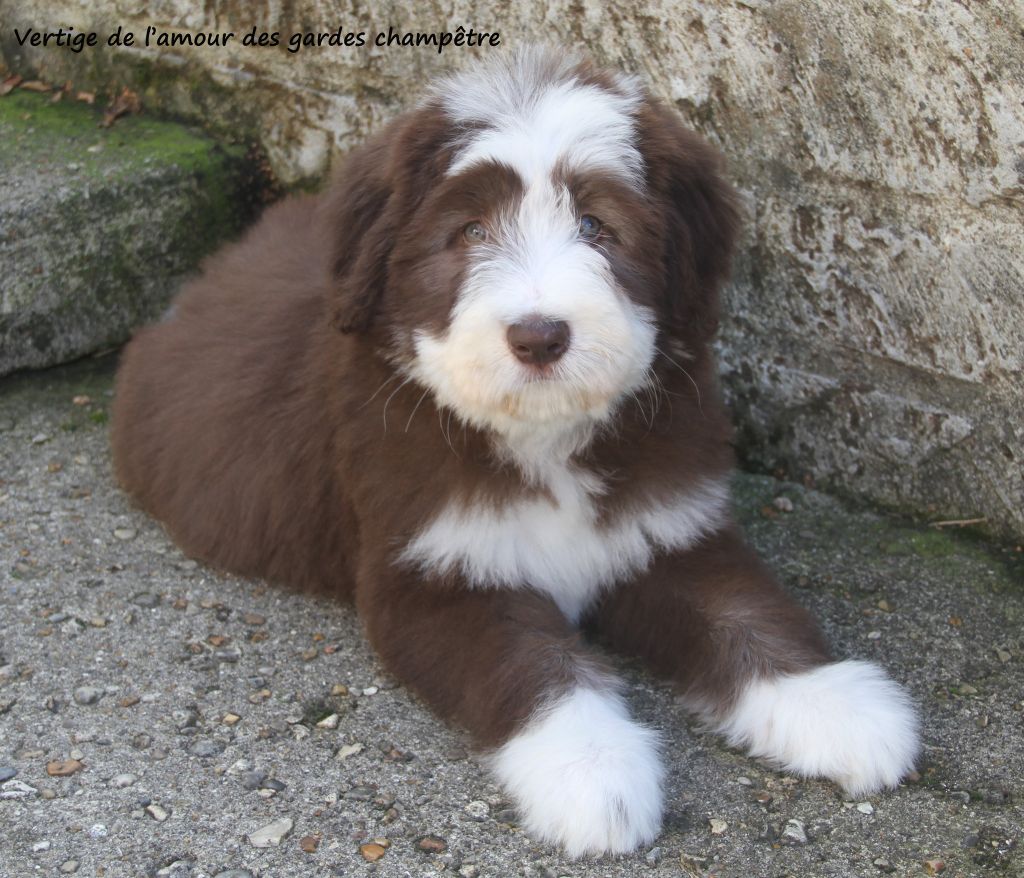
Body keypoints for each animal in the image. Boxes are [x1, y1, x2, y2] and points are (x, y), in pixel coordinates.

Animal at [112, 49, 921, 856]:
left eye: (596, 225)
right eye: (470, 231)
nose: (539, 335)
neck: (544, 438)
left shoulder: (668, 531)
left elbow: (745, 613)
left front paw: (834, 705)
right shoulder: (432, 575)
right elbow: (533, 666)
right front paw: (593, 772)